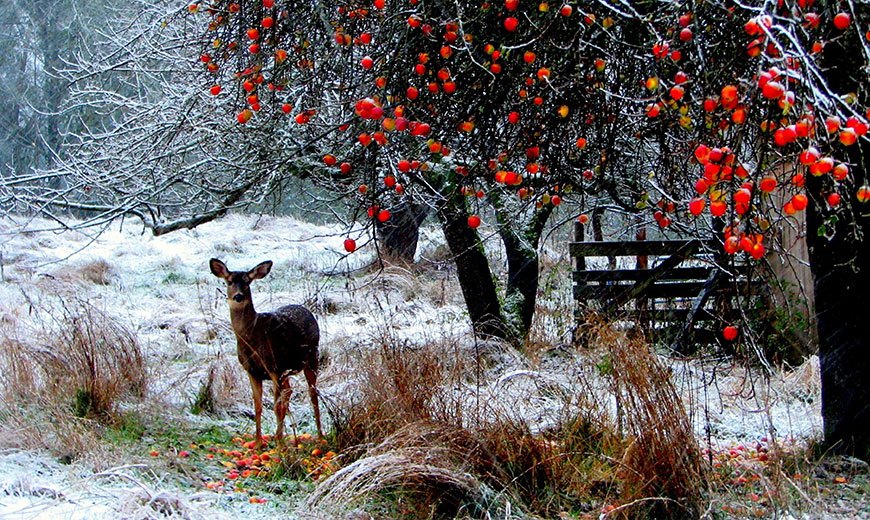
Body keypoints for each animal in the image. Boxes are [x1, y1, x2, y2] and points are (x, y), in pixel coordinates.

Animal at [209, 258, 324, 444]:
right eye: (229, 281)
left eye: (247, 282)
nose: (238, 296)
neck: (252, 338)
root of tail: (306, 310)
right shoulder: (252, 371)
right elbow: (258, 406)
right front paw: (258, 443)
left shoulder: (273, 367)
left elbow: (277, 407)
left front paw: (279, 445)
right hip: (287, 370)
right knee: (289, 391)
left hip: (312, 357)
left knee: (312, 394)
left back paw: (320, 436)